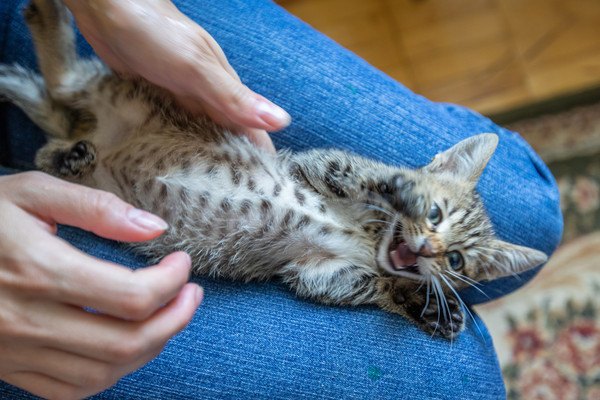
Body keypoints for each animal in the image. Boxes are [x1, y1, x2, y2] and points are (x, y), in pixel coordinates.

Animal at [0, 0, 548, 340]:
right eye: (435, 214)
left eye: (457, 261)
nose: (430, 250)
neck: (367, 239)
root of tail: (101, 134)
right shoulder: (320, 166)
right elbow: (366, 175)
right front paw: (403, 192)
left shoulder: (316, 273)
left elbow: (371, 287)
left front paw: (429, 305)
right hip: (131, 94)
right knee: (64, 82)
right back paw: (48, 24)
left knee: (52, 135)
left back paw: (69, 154)